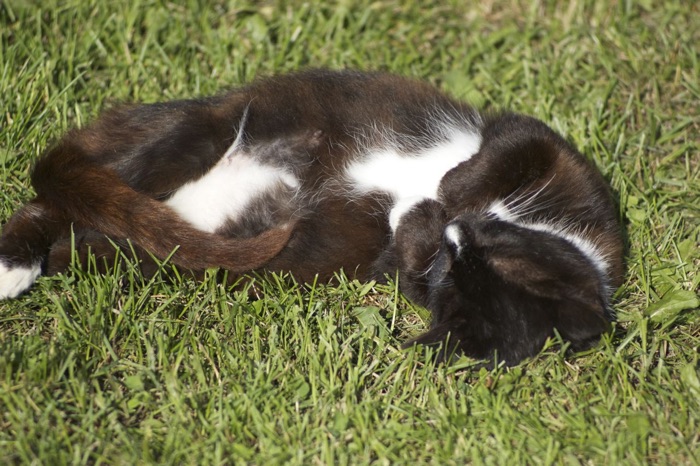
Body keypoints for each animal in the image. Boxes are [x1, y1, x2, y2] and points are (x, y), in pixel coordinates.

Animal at [0, 71, 624, 366]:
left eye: (458, 268)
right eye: (485, 246)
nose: (454, 230)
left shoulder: (399, 264)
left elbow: (406, 264)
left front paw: (422, 213)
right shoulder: (565, 165)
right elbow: (518, 145)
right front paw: (451, 187)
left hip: (162, 252)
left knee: (87, 233)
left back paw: (23, 264)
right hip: (198, 132)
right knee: (67, 193)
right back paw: (12, 262)